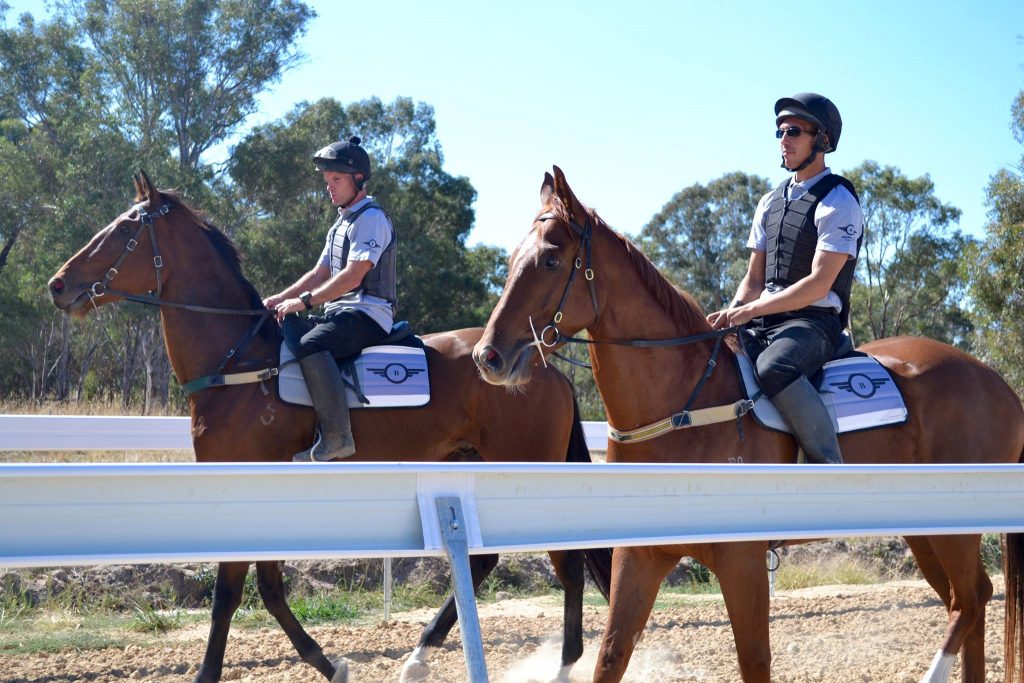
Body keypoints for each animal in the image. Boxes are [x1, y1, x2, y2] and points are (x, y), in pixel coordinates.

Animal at [48, 171, 606, 683]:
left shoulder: (244, 486)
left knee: (567, 562)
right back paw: (419, 655)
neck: (241, 363)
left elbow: (228, 591)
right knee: (485, 561)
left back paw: (564, 662)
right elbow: (269, 587)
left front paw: (209, 673)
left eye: (125, 229)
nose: (58, 285)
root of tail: (541, 362)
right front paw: (327, 662)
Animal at [471, 166, 1024, 683]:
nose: (488, 356)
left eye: (550, 260)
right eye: (512, 259)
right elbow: (611, 656)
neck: (682, 406)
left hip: (952, 532)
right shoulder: (640, 556)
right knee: (970, 600)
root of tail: (996, 382)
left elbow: (753, 659)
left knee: (970, 599)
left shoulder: (742, 562)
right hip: (926, 531)